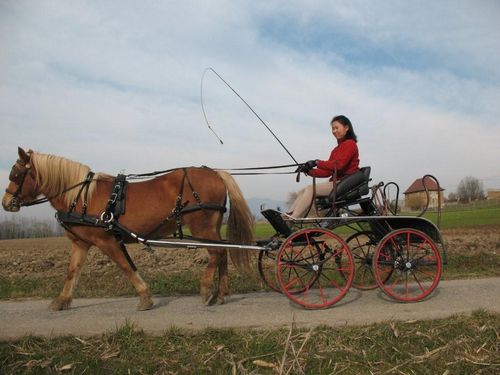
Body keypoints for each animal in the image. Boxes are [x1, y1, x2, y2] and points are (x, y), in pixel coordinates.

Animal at [1, 148, 254, 312]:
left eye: (16, 174)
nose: (6, 202)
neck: (81, 197)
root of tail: (214, 172)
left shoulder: (106, 241)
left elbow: (125, 266)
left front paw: (145, 297)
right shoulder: (81, 243)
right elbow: (72, 271)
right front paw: (61, 300)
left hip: (201, 226)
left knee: (217, 254)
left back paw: (206, 289)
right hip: (211, 228)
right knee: (222, 254)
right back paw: (221, 294)